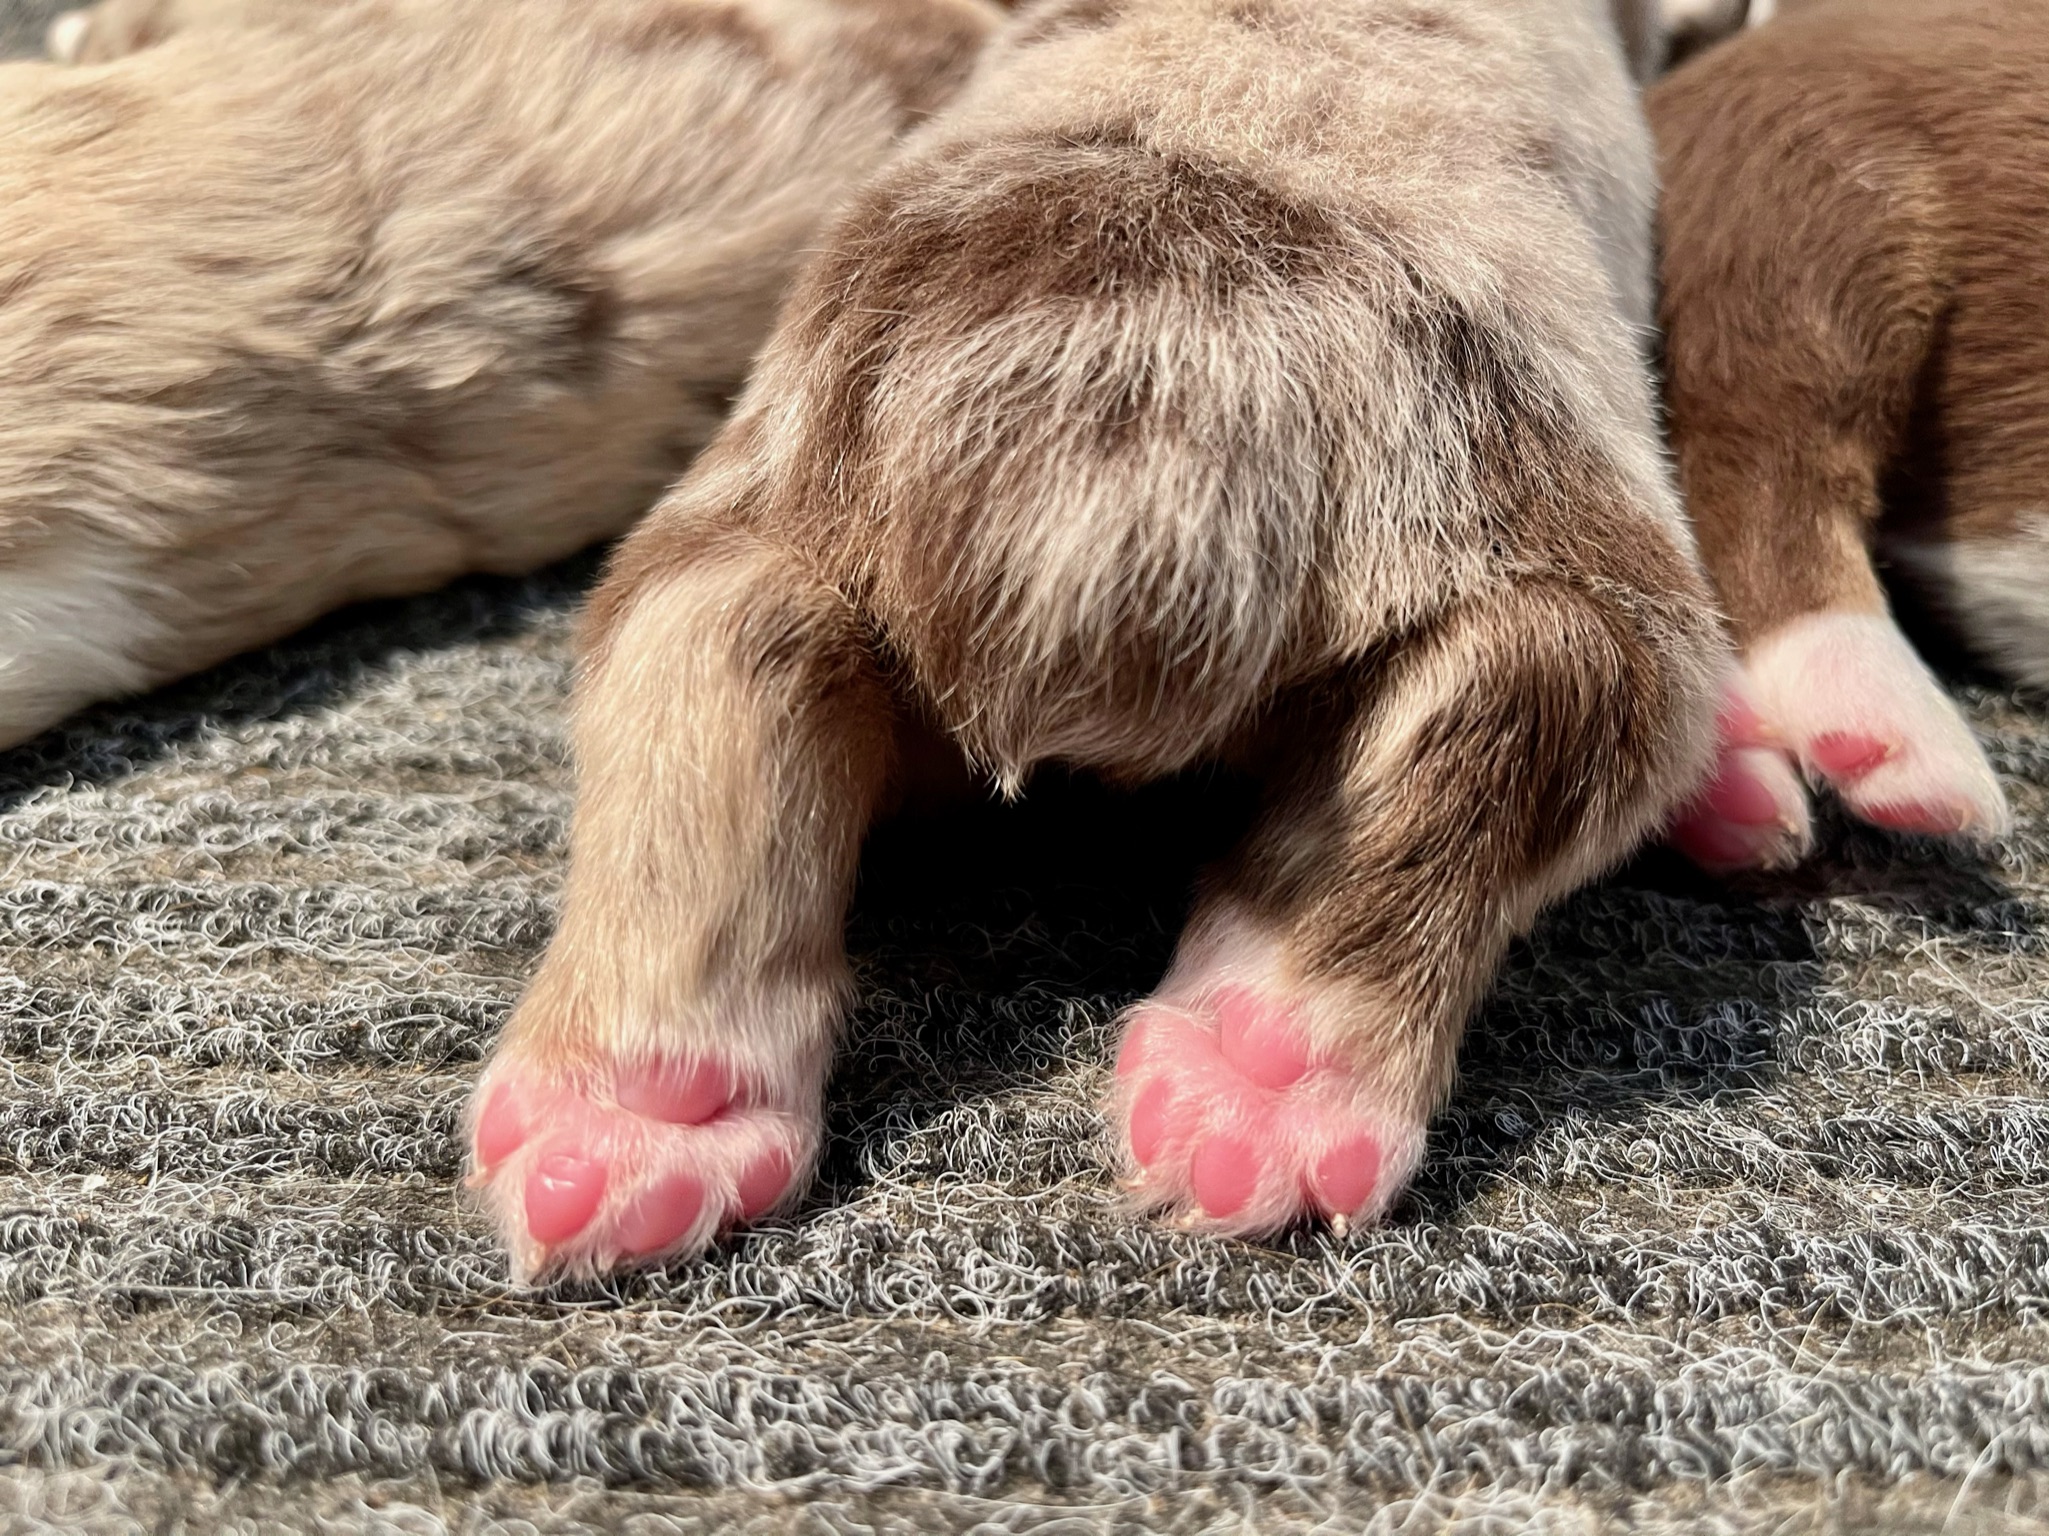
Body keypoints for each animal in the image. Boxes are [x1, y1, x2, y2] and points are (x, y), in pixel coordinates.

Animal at [471, 0, 1737, 1277]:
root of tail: (1144, 406)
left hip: (762, 502)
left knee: (722, 638)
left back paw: (631, 1123)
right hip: (1587, 557)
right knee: (1542, 689)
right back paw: (1258, 1080)